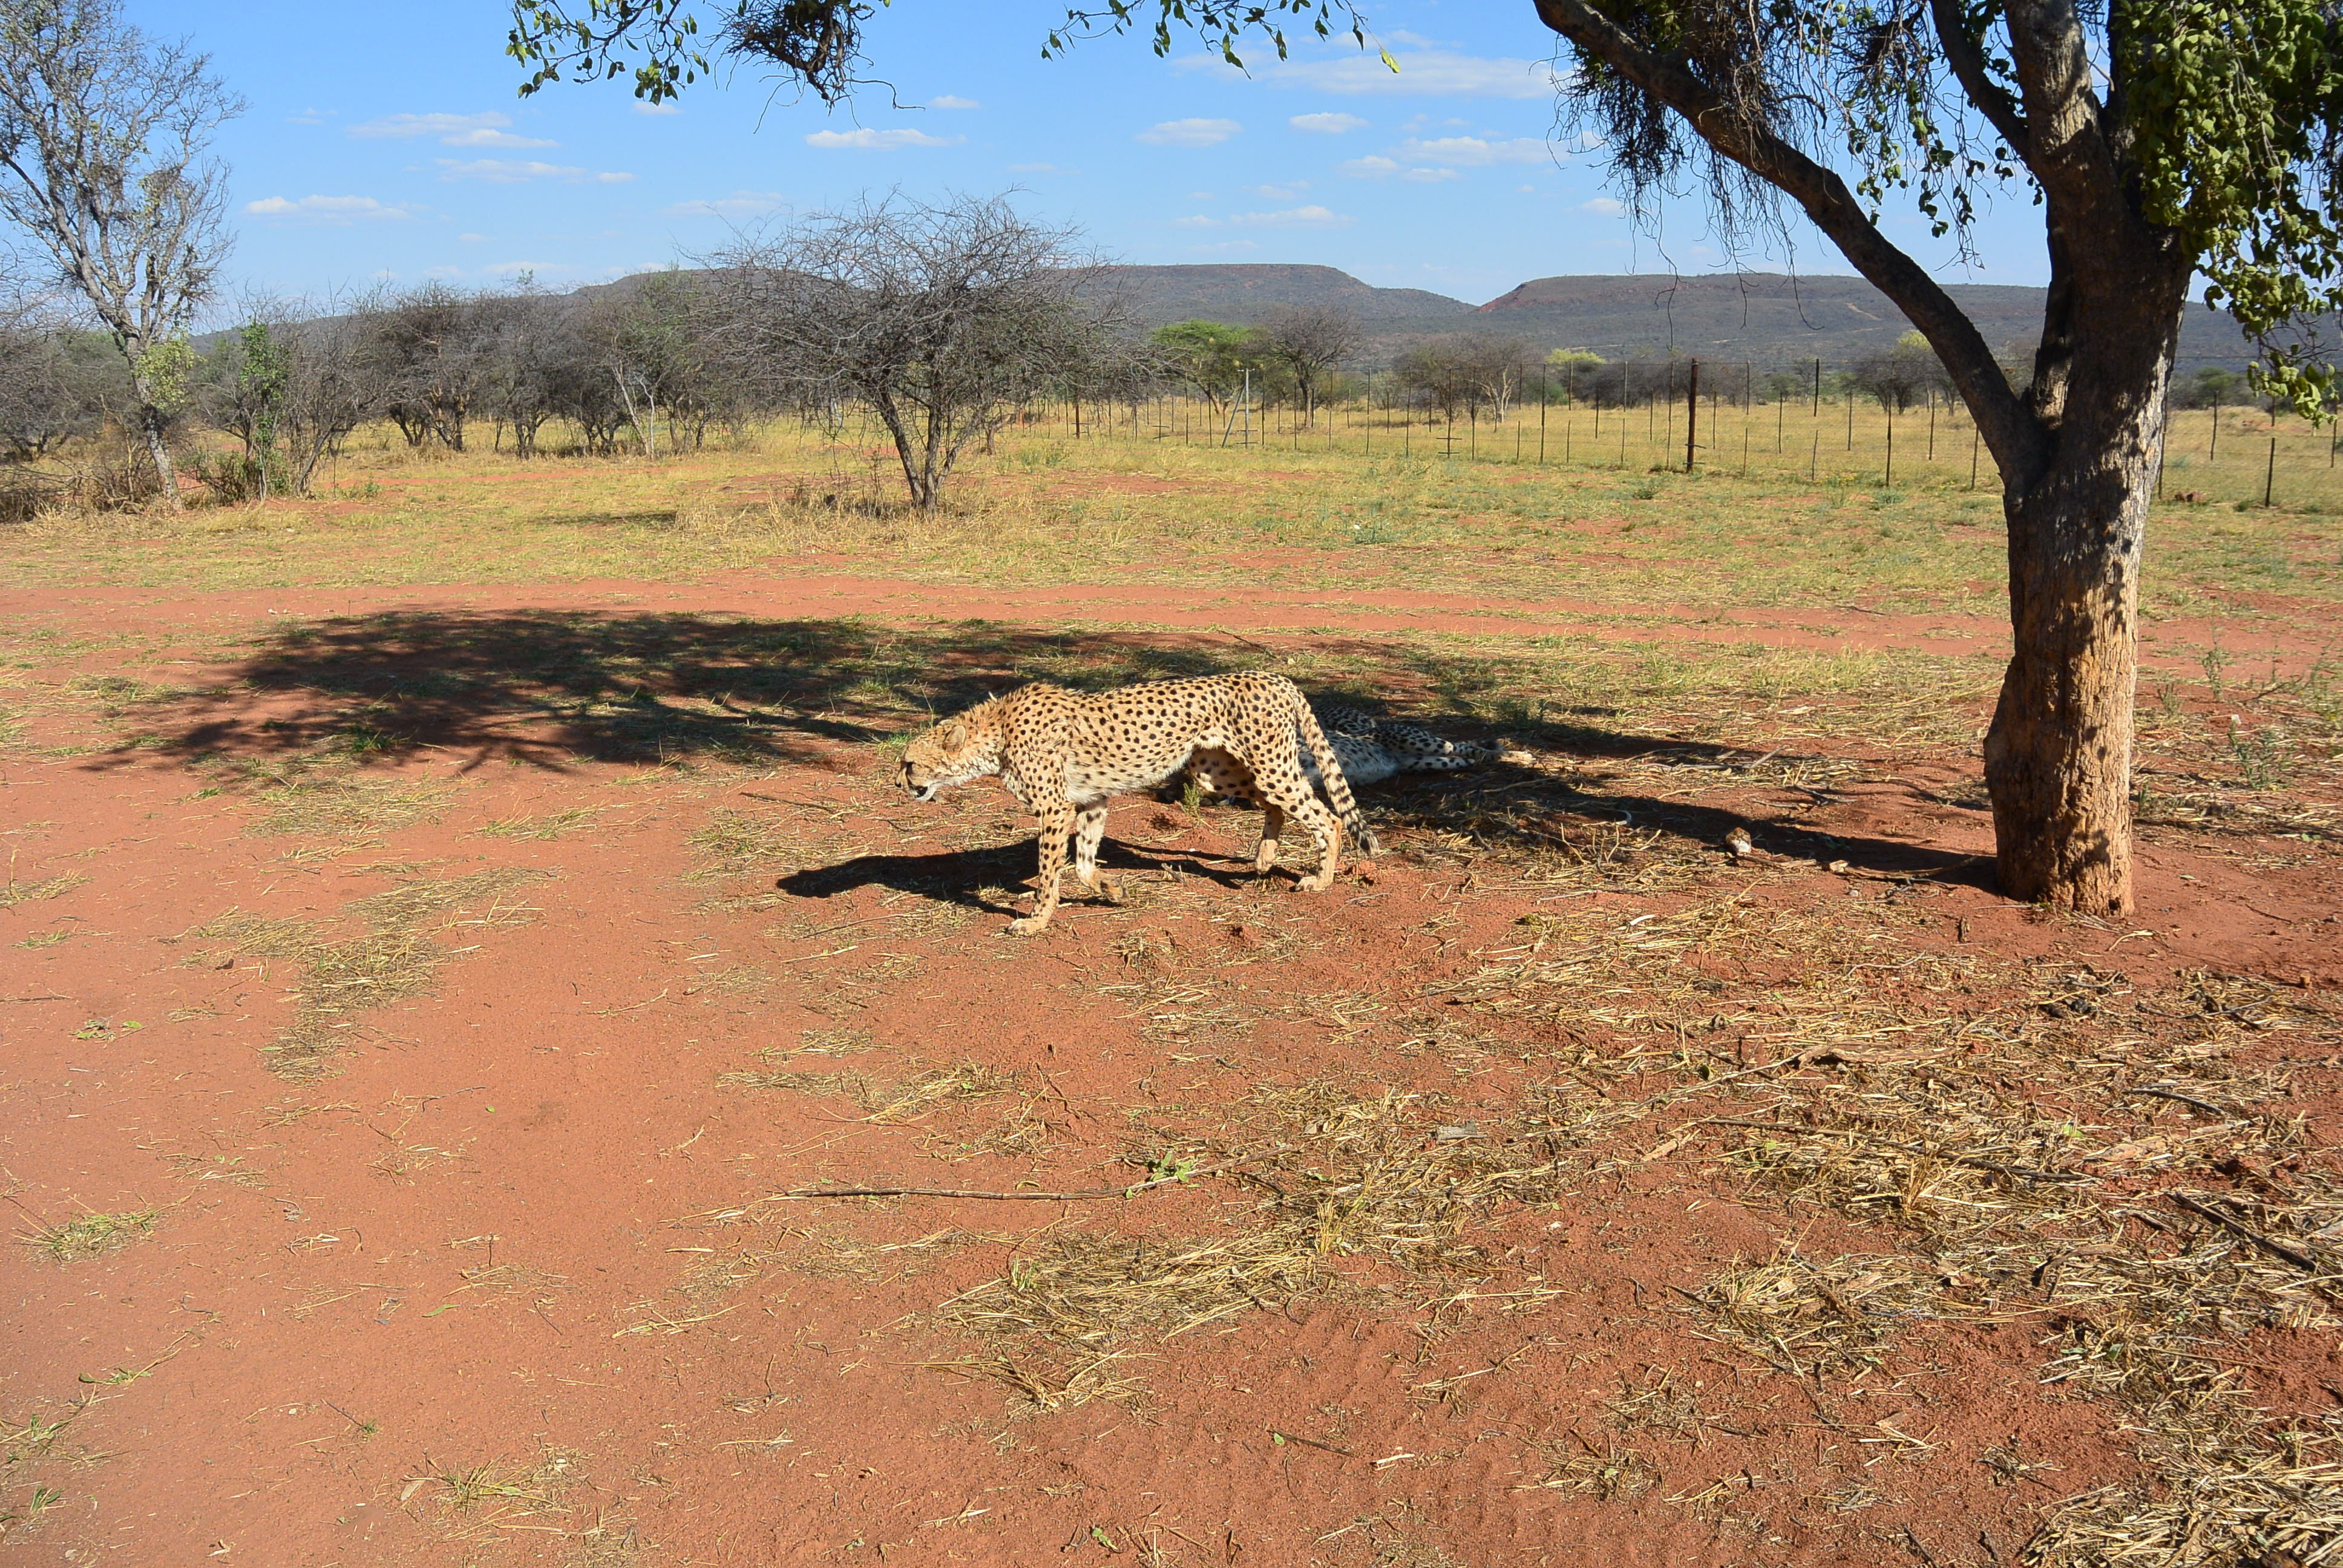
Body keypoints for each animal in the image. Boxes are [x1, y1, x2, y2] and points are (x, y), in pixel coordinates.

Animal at [898, 671, 1368, 935]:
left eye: (910, 763)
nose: (899, 782)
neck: (995, 730)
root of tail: (1274, 677)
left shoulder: (1055, 808)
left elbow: (1049, 873)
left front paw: (1035, 921)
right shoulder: (1092, 800)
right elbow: (1084, 865)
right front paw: (1114, 891)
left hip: (1269, 765)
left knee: (1328, 818)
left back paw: (1320, 880)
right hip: (1215, 771)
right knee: (1273, 805)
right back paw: (1265, 859)